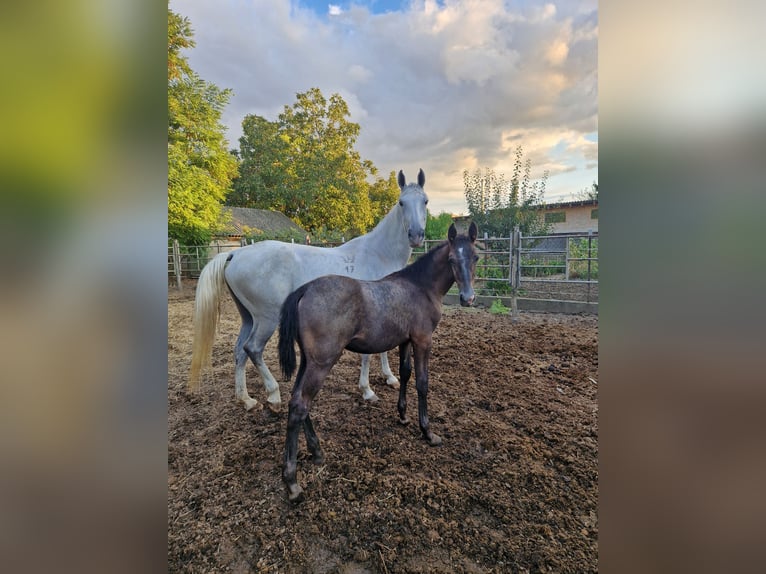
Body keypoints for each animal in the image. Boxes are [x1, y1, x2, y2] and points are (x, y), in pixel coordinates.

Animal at [189, 169, 428, 412]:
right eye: (401, 202)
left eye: (425, 201)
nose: (416, 235)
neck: (378, 254)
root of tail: (235, 254)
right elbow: (368, 355)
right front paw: (367, 391)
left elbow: (383, 348)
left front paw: (389, 378)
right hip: (267, 318)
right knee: (253, 349)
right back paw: (273, 395)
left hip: (248, 317)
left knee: (239, 351)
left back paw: (246, 399)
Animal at [280, 223, 476, 502]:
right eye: (451, 259)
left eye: (475, 257)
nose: (468, 298)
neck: (420, 287)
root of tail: (304, 289)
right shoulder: (423, 340)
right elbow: (422, 383)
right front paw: (428, 432)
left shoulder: (406, 340)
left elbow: (405, 373)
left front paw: (403, 416)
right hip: (321, 362)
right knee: (300, 405)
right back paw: (292, 481)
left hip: (309, 360)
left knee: (297, 399)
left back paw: (317, 452)